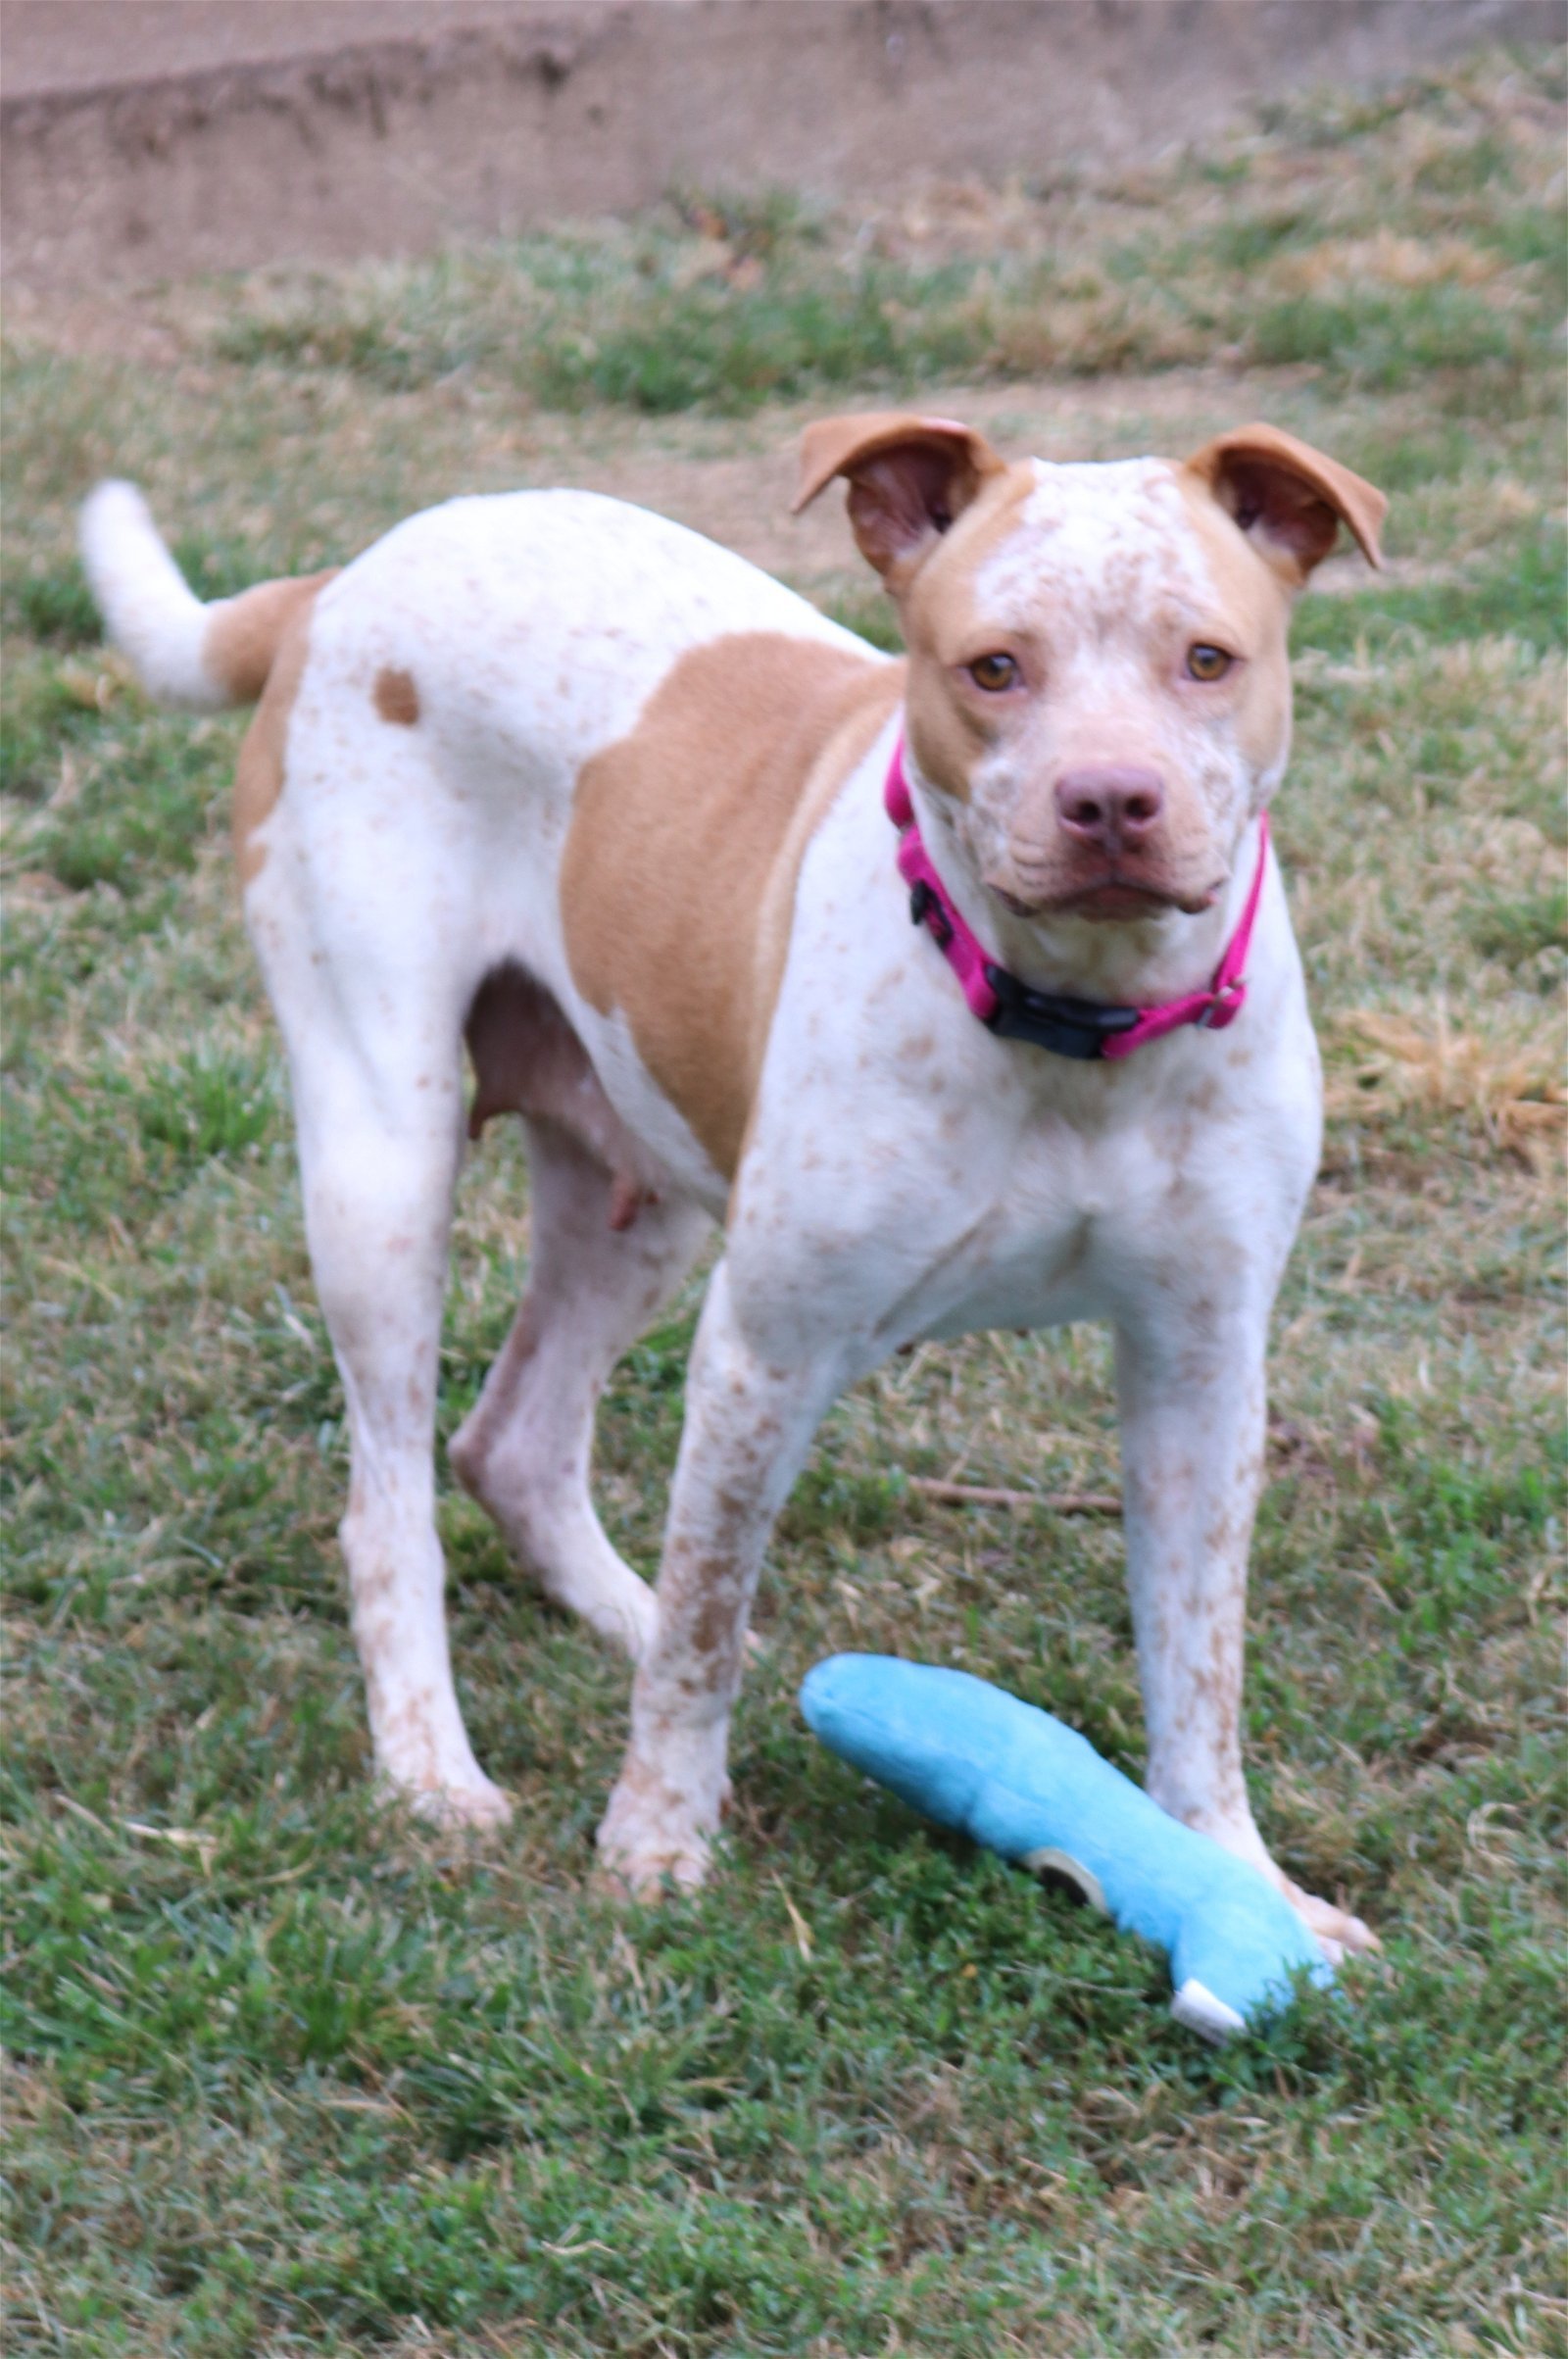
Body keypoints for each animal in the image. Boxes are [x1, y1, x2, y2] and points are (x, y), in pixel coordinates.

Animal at [85, 410, 1386, 1952]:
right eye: (993, 668)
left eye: (1207, 658)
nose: (1110, 801)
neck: (1075, 1025)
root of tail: (341, 578)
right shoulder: (769, 1343)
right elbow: (706, 1615)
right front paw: (655, 1840)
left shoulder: (1202, 1364)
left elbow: (1198, 1661)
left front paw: (1243, 1881)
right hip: (379, 1162)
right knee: (393, 1499)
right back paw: (430, 1768)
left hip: (635, 1183)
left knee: (515, 1440)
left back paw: (623, 1615)